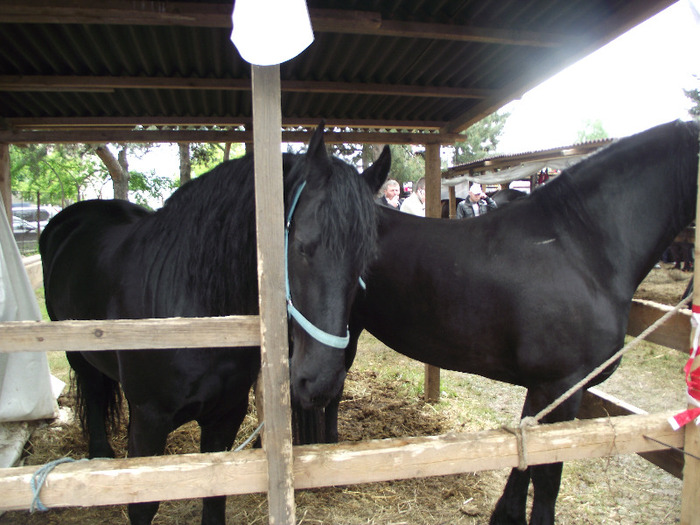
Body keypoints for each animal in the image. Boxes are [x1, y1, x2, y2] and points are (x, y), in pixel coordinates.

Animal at [41, 124, 392, 524]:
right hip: (77, 352)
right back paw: (99, 453)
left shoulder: (226, 414)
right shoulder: (148, 420)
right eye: (302, 246)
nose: (320, 383)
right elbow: (143, 503)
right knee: (94, 393)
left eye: (365, 257)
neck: (196, 319)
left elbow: (216, 494)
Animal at [318, 119, 700, 524]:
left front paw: (508, 514)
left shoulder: (543, 388)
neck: (578, 247)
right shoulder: (563, 385)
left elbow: (525, 456)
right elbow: (548, 475)